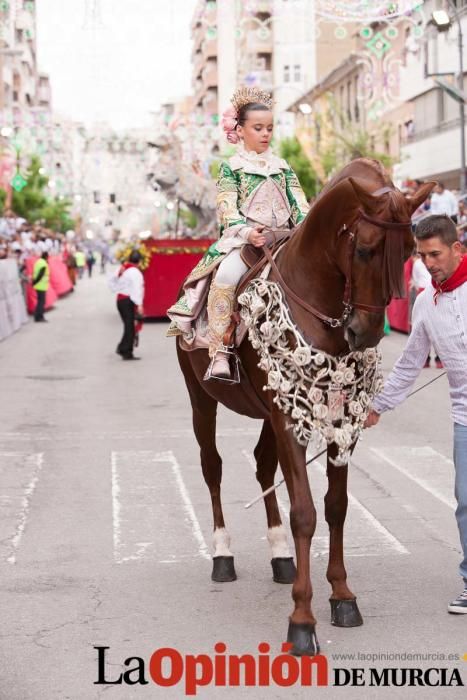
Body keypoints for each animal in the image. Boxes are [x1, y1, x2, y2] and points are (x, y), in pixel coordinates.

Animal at [176, 159, 436, 656]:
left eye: (411, 251)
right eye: (366, 250)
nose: (366, 333)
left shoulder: (337, 416)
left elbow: (336, 506)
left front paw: (342, 597)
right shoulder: (287, 420)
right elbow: (305, 513)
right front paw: (301, 620)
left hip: (269, 408)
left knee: (262, 466)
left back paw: (280, 556)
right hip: (201, 398)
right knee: (212, 467)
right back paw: (222, 554)